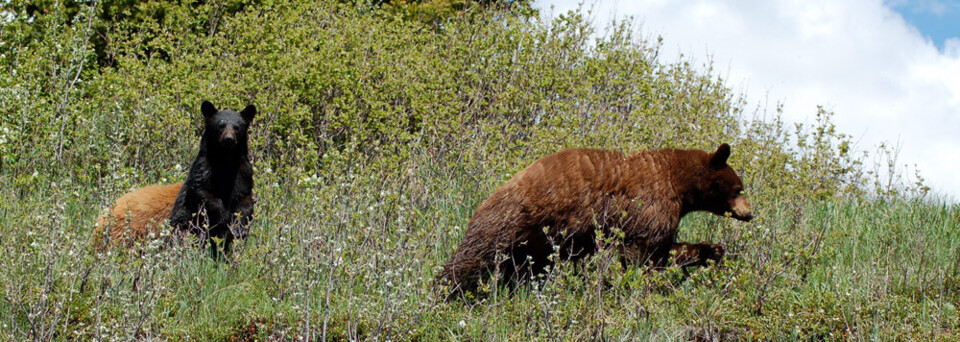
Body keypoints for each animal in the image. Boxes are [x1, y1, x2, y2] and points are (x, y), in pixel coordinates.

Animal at [438, 143, 752, 296]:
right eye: (739, 188)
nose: (750, 213)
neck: (680, 183)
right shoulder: (651, 204)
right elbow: (644, 252)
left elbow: (666, 249)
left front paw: (713, 250)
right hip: (512, 222)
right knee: (472, 257)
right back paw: (446, 291)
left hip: (533, 245)